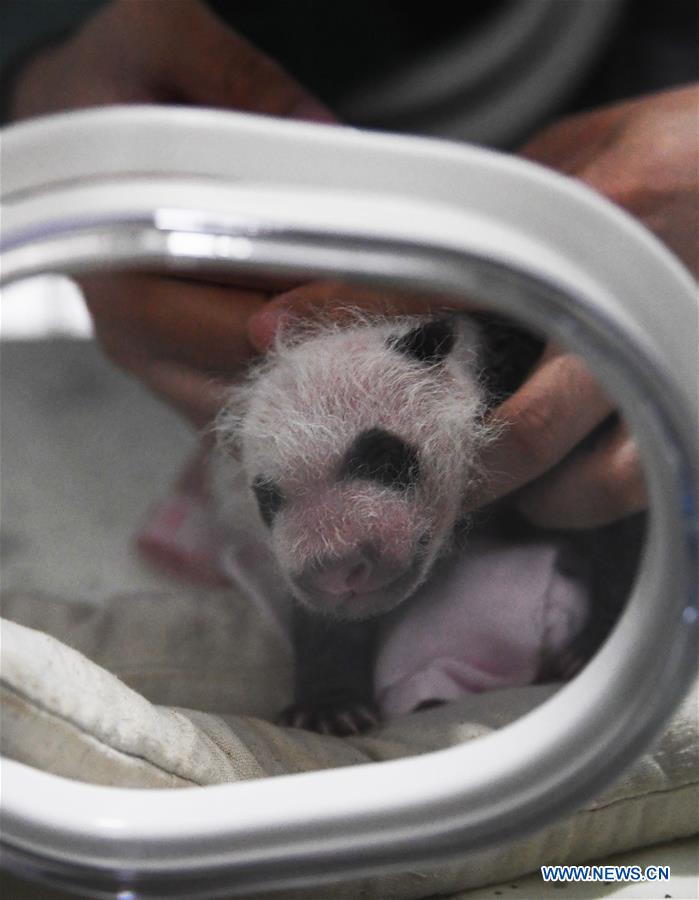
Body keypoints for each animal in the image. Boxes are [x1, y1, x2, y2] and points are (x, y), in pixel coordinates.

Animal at [213, 312, 642, 735]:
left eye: (383, 458)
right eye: (268, 500)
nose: (335, 570)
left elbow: (614, 527)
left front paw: (593, 647)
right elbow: (325, 620)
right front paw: (330, 708)